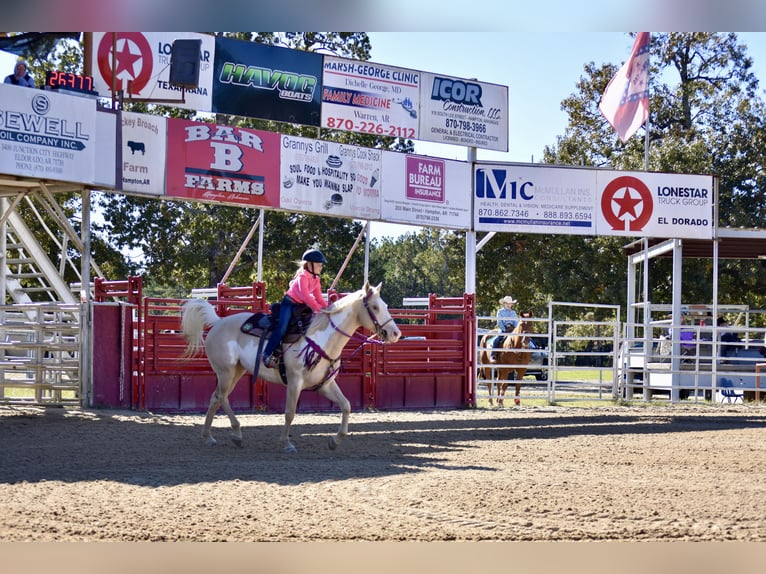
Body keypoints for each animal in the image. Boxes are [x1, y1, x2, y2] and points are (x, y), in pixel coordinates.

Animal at [180, 281, 401, 453]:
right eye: (374, 307)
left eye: (385, 305)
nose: (395, 333)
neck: (321, 339)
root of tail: (218, 322)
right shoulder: (295, 381)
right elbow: (290, 412)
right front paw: (287, 443)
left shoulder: (325, 384)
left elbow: (346, 406)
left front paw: (335, 440)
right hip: (225, 371)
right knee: (221, 396)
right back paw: (234, 433)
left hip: (237, 370)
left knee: (217, 397)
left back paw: (212, 436)